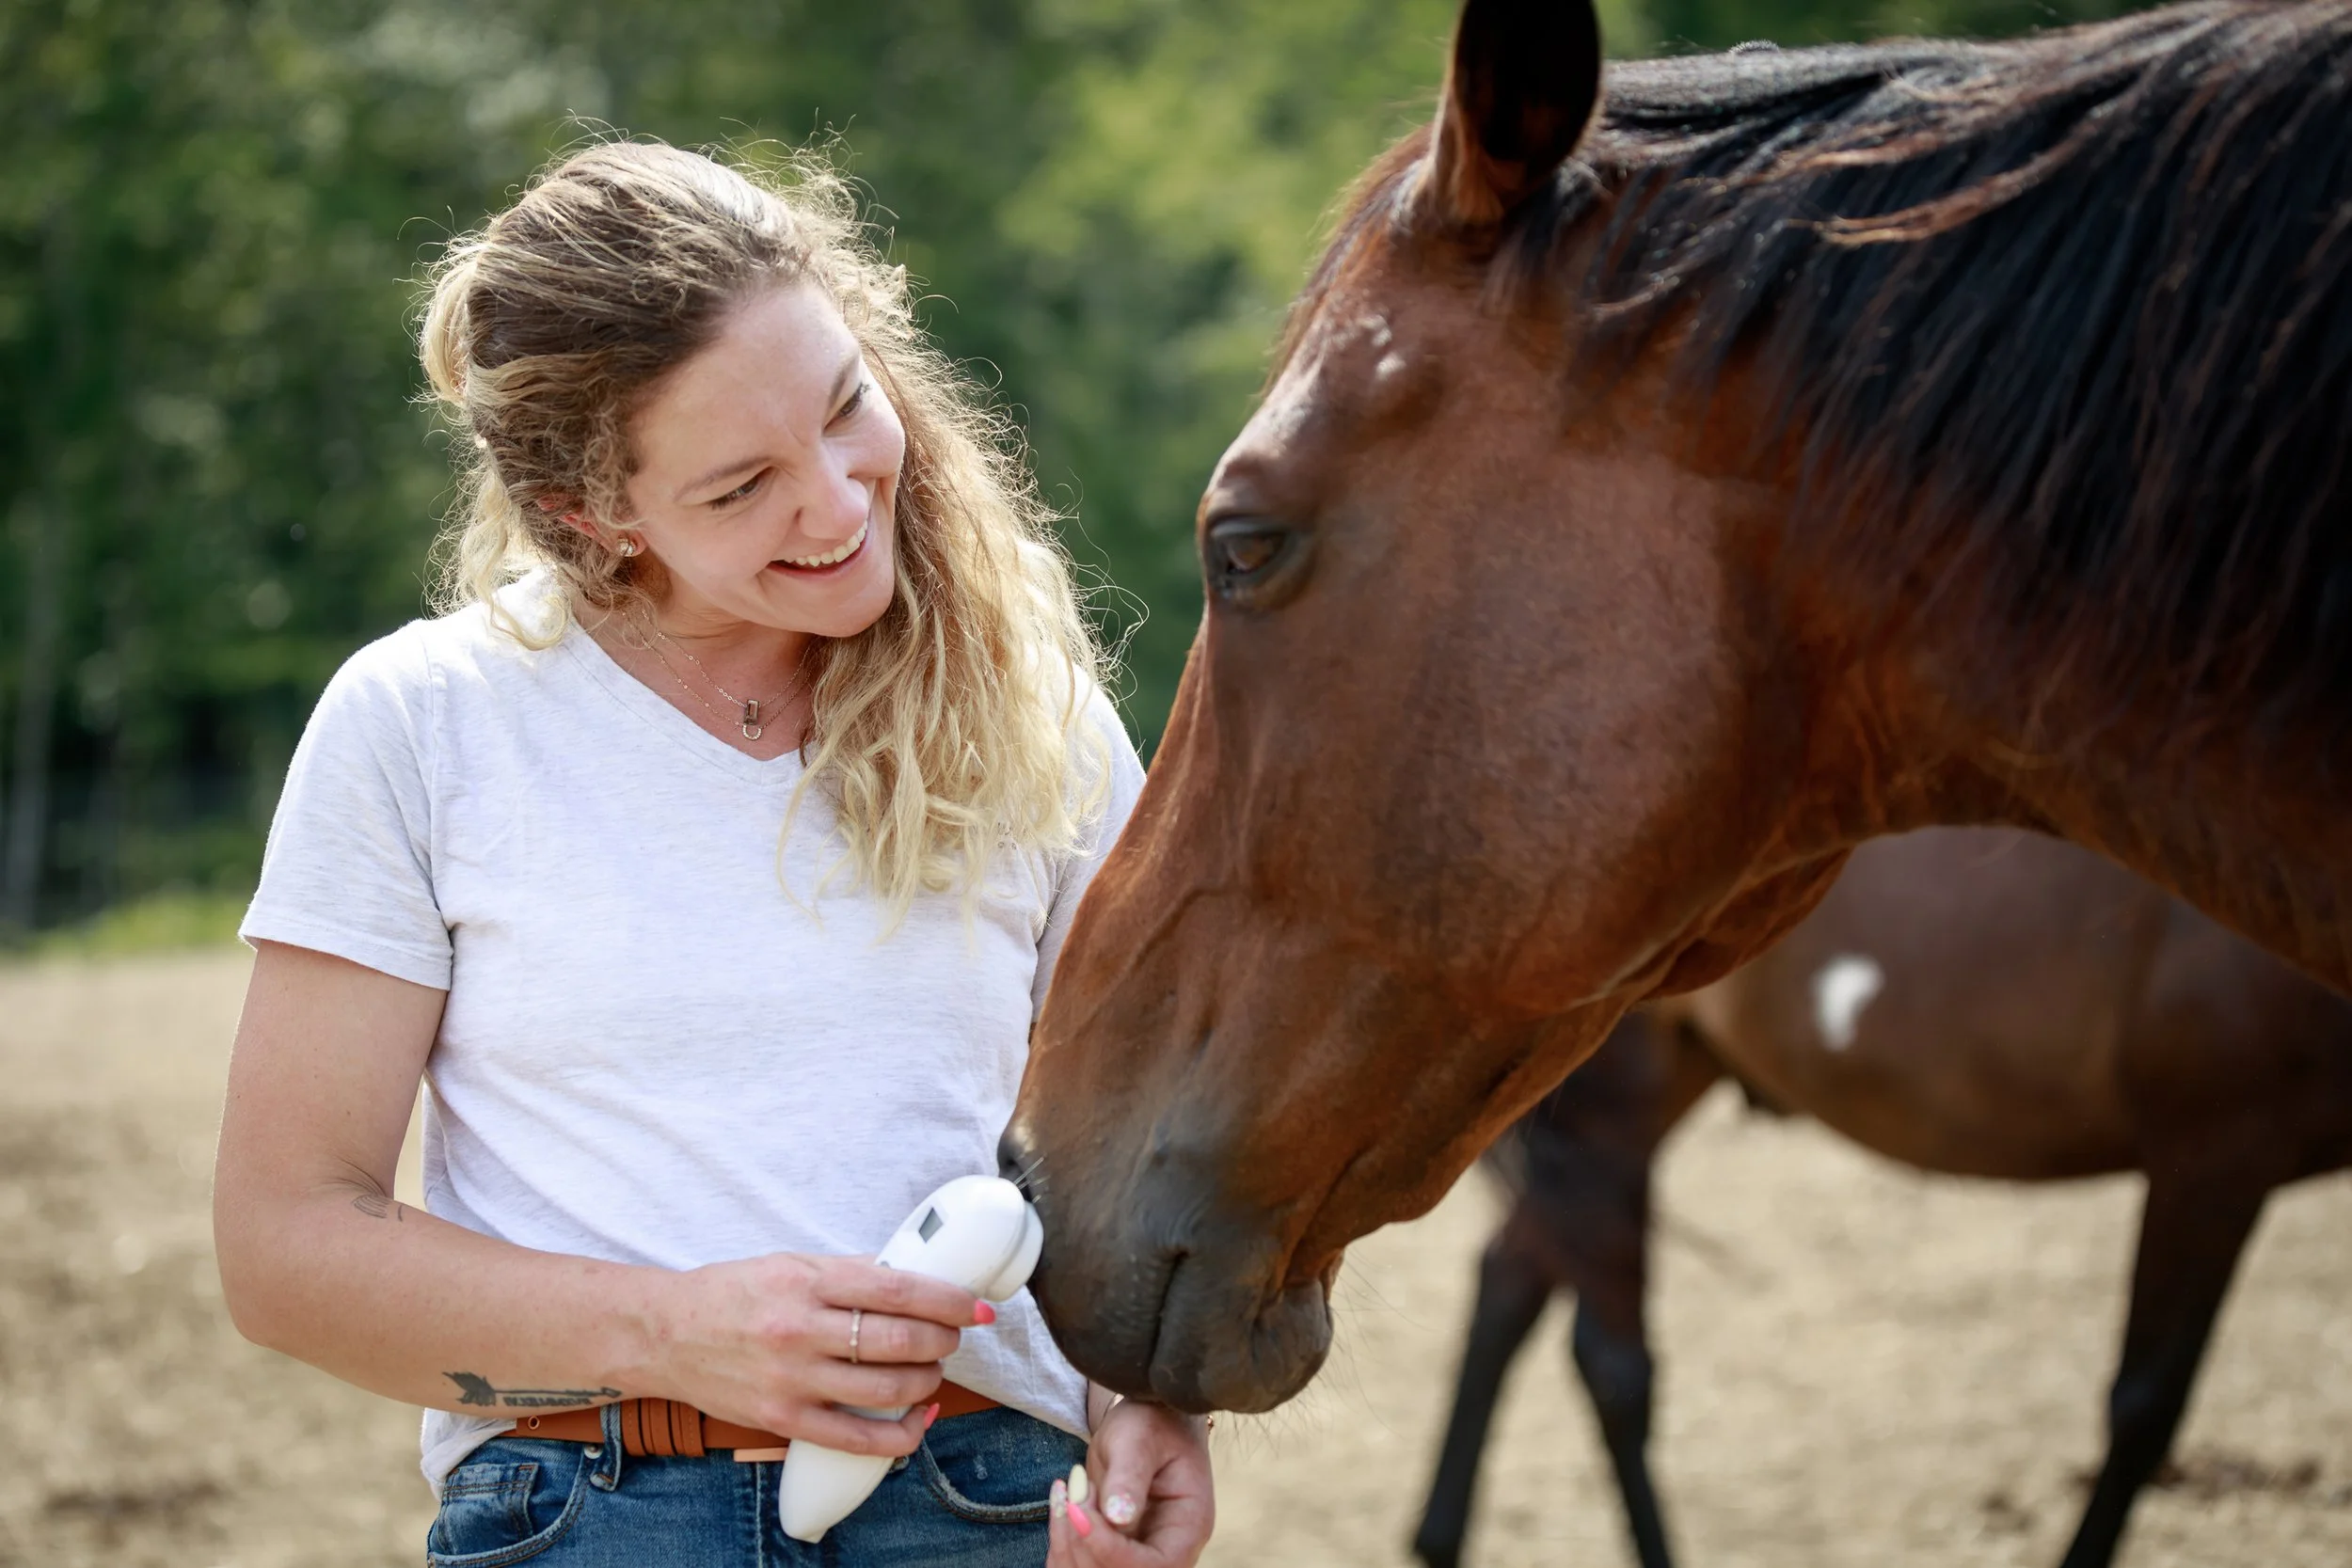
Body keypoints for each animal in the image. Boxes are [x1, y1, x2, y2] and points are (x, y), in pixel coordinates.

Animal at [1412, 827, 2352, 1568]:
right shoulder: (2211, 1157)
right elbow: (2144, 1408)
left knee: (1508, 1278)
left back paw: (1440, 1538)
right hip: (1609, 1104)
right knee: (1612, 1365)